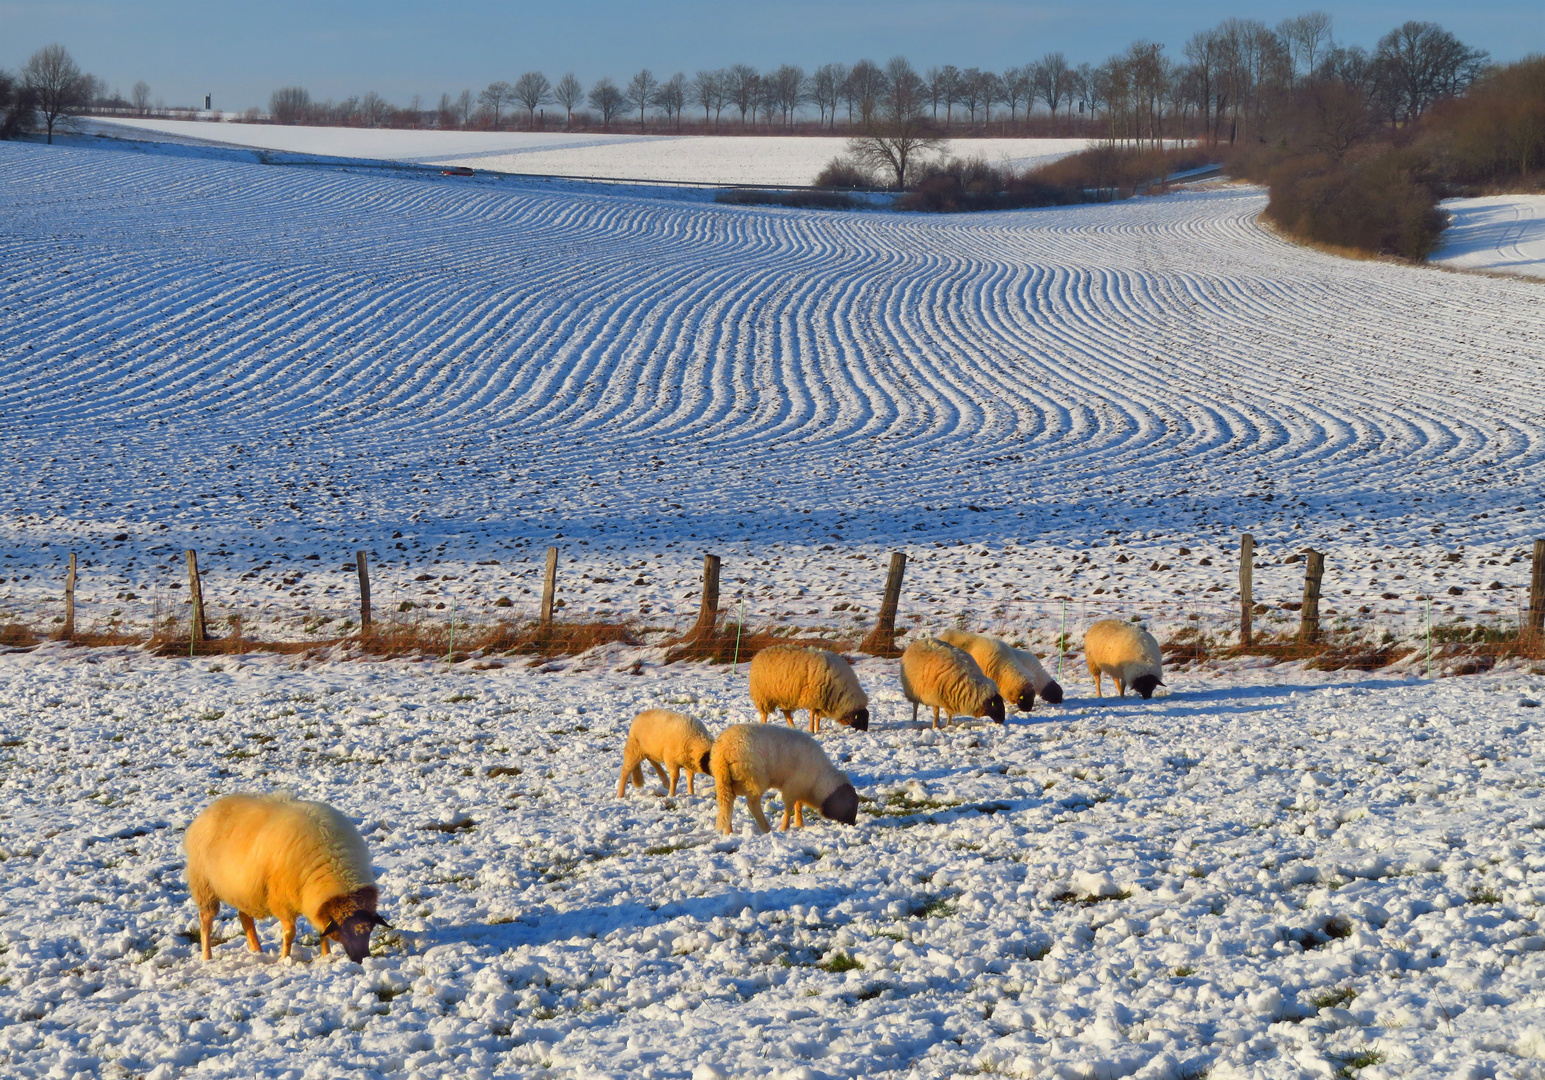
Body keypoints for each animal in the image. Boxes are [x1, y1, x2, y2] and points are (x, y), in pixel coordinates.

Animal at [183, 797, 389, 964]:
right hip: (204, 886)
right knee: (206, 920)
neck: (334, 861)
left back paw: (257, 951)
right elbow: (290, 933)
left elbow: (322, 931)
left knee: (245, 917)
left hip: (244, 891)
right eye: (345, 931)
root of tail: (211, 808)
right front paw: (285, 959)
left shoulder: (313, 900)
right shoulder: (282, 899)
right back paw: (207, 957)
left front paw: (326, 955)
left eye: (370, 929)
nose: (362, 959)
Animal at [707, 726, 859, 834]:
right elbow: (789, 806)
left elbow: (798, 805)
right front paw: (785, 827)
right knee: (752, 804)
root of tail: (724, 749)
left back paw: (728, 831)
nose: (852, 824)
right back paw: (766, 829)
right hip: (755, 779)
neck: (818, 780)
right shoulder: (791, 786)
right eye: (851, 805)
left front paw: (799, 824)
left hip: (724, 779)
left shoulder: (799, 788)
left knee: (728, 801)